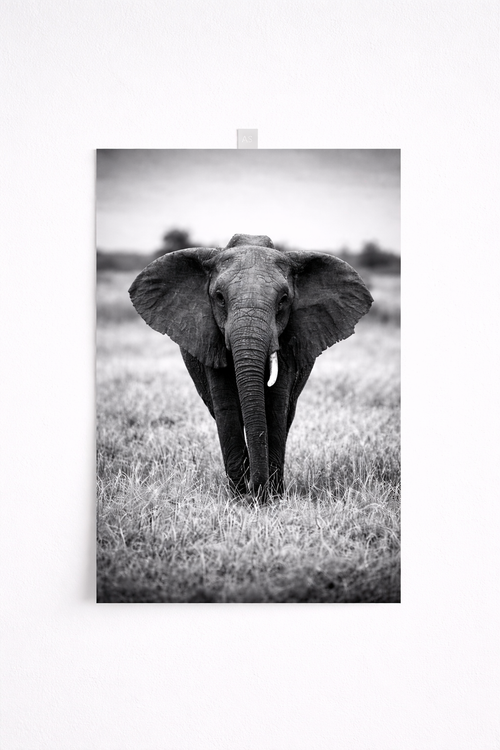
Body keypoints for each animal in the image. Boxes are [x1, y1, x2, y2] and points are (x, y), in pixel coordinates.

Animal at [129, 233, 373, 499]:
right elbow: (226, 408)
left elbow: (276, 408)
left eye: (283, 300)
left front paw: (271, 497)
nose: (255, 490)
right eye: (219, 298)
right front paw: (239, 498)